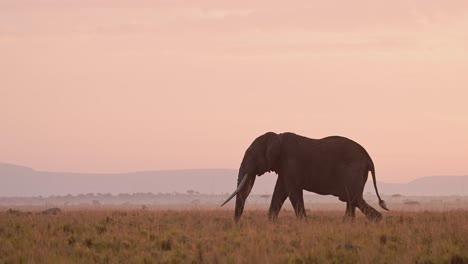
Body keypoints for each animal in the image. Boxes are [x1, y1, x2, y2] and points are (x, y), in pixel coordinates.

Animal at [221, 131, 390, 221]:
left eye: (251, 155)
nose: (237, 225)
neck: (277, 136)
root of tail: (369, 158)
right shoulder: (284, 168)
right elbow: (279, 193)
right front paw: (271, 224)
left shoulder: (291, 163)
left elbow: (292, 193)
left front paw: (303, 224)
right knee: (351, 200)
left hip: (353, 171)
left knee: (353, 198)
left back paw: (377, 220)